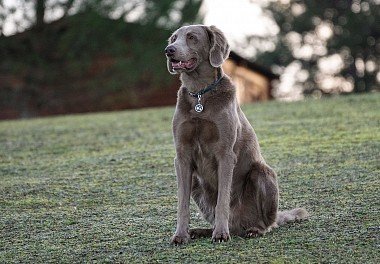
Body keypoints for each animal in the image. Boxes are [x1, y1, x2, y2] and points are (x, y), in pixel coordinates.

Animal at [165, 25, 308, 245]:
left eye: (191, 37)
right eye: (173, 38)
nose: (169, 50)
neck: (200, 95)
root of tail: (240, 225)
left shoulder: (225, 154)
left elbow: (222, 200)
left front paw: (221, 234)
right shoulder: (182, 155)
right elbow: (182, 203)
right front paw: (180, 235)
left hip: (262, 173)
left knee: (268, 223)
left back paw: (252, 230)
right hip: (197, 183)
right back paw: (201, 231)